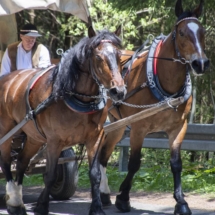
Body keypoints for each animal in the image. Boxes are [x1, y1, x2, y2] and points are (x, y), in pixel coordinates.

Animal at [0, 26, 126, 214]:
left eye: (119, 56)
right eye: (98, 57)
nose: (119, 91)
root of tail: (6, 80)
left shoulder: (95, 138)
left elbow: (94, 174)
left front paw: (97, 207)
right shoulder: (54, 141)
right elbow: (50, 175)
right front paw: (42, 206)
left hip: (34, 137)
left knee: (22, 162)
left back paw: (18, 201)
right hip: (6, 130)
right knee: (7, 163)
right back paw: (14, 200)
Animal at [99, 0, 210, 214]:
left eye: (202, 31)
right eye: (181, 33)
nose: (200, 63)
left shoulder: (178, 127)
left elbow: (176, 164)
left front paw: (181, 202)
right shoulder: (139, 128)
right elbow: (134, 163)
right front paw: (123, 198)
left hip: (117, 124)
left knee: (103, 154)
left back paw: (103, 194)